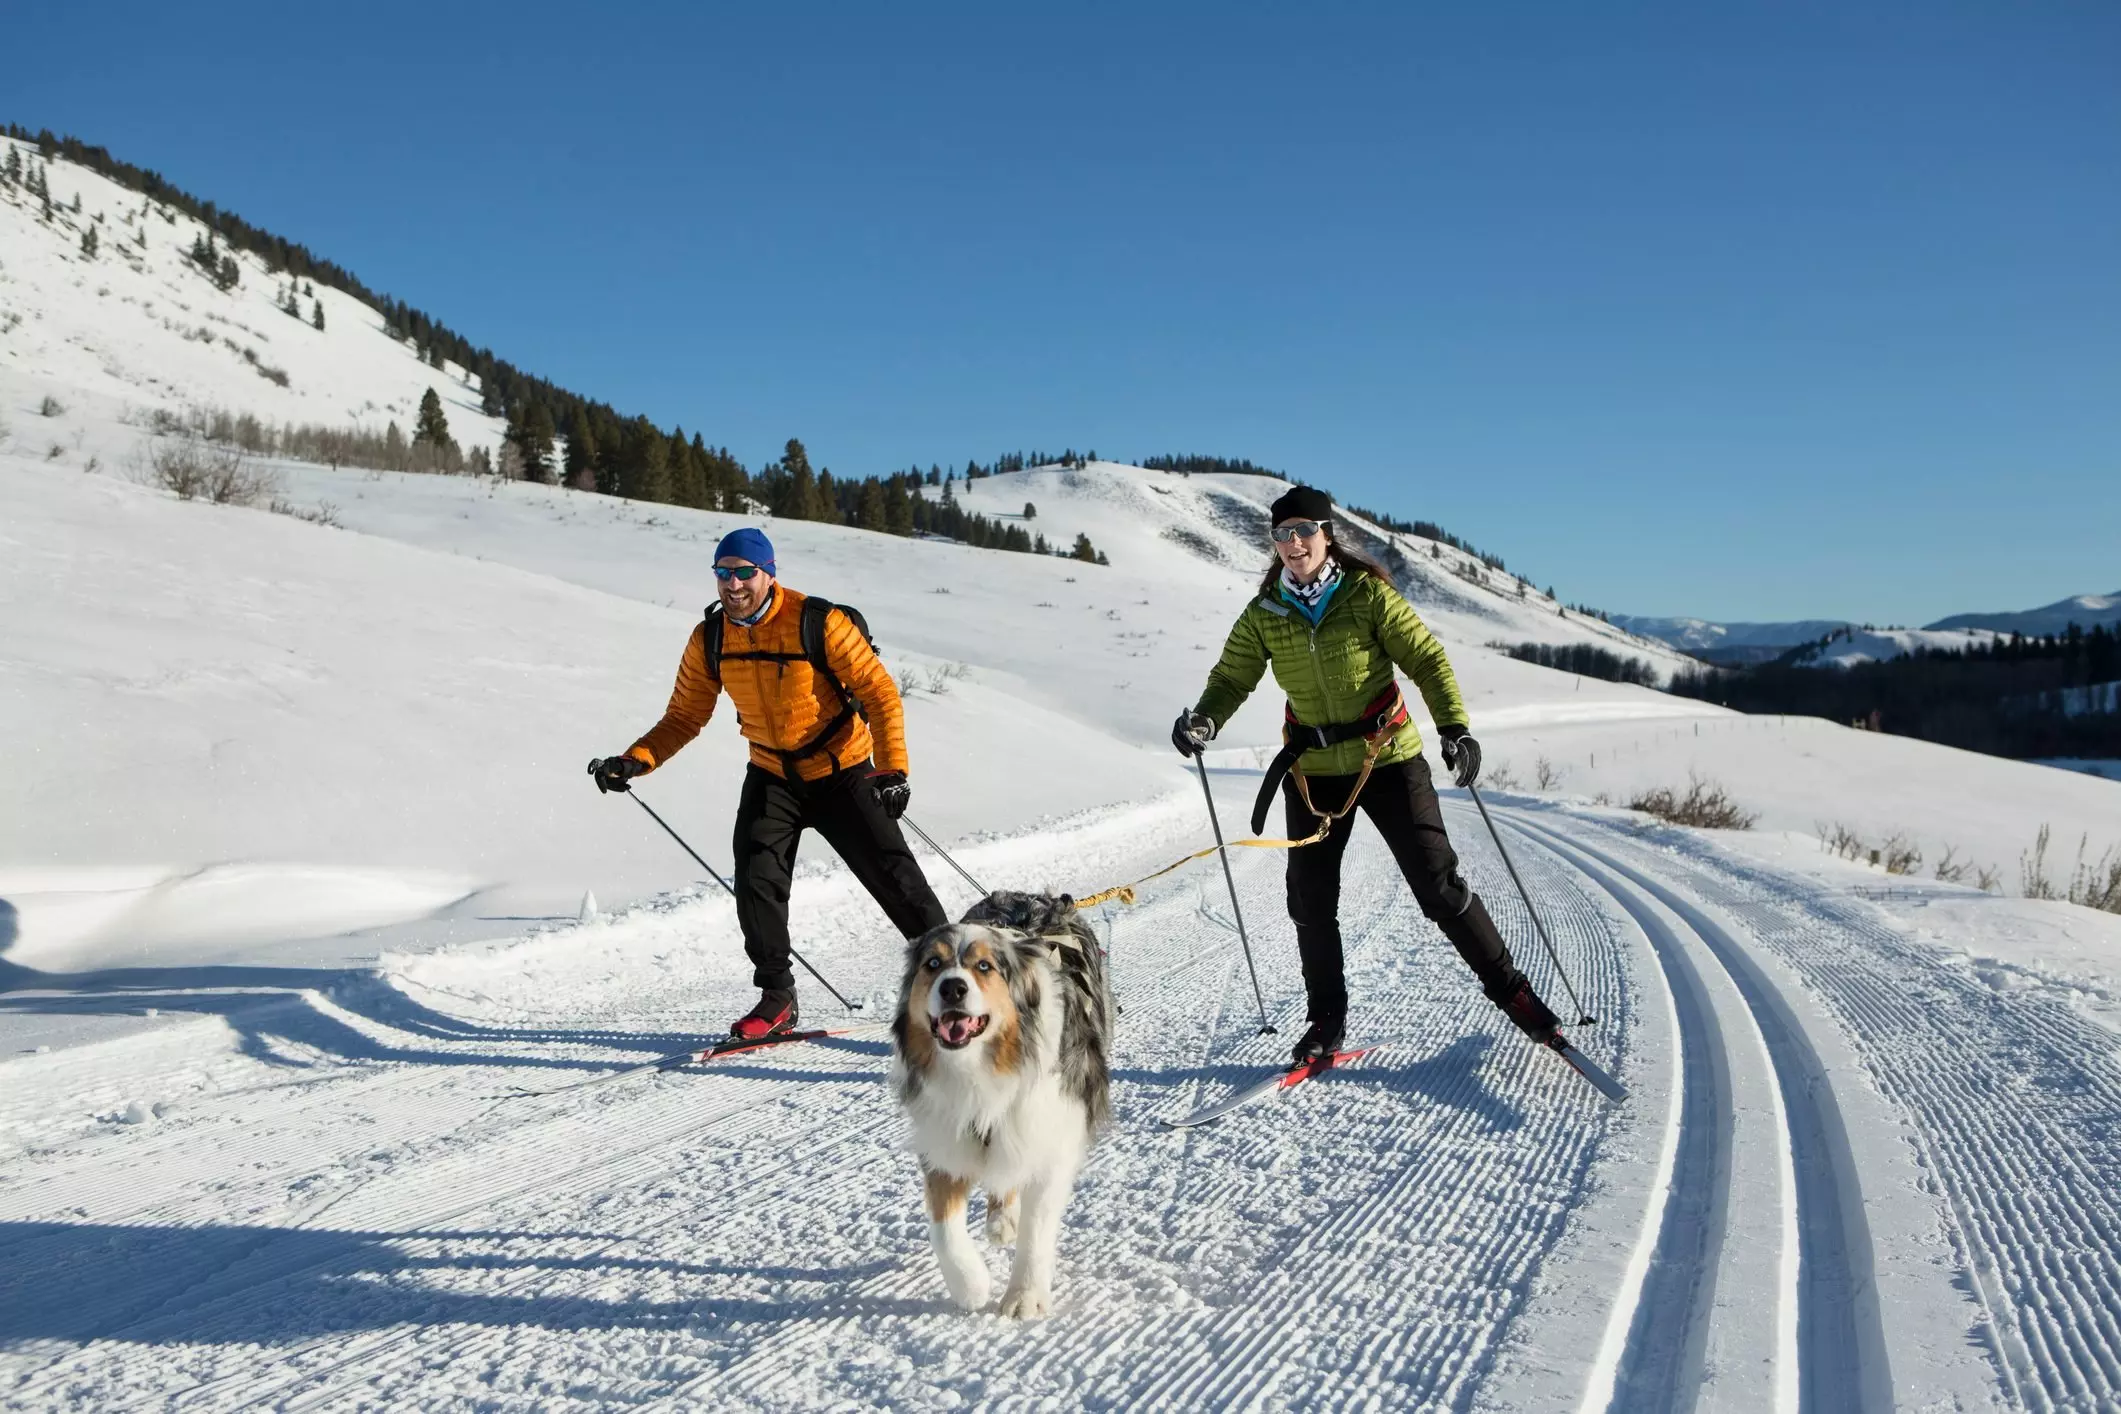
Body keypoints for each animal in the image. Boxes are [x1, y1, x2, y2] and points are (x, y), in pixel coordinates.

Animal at [890, 894, 1119, 1314]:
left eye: (985, 967)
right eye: (933, 964)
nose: (952, 989)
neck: (980, 1066)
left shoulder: (1049, 1133)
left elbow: (1037, 1227)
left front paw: (1024, 1297)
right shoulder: (945, 1134)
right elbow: (943, 1228)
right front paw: (971, 1286)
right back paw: (1000, 1221)